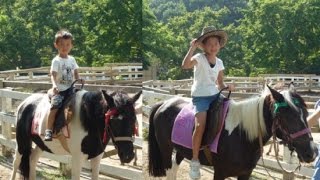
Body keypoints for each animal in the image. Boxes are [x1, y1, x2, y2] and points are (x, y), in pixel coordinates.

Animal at [10, 89, 141, 179]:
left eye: (134, 119)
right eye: (114, 121)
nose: (128, 156)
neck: (89, 120)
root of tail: (25, 103)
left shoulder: (97, 157)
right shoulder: (77, 159)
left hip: (41, 143)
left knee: (33, 159)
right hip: (21, 141)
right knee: (16, 162)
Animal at [149, 84, 318, 180]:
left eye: (305, 113)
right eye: (286, 116)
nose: (311, 152)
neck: (242, 135)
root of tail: (163, 103)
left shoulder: (245, 174)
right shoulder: (219, 173)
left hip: (182, 150)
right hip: (165, 149)